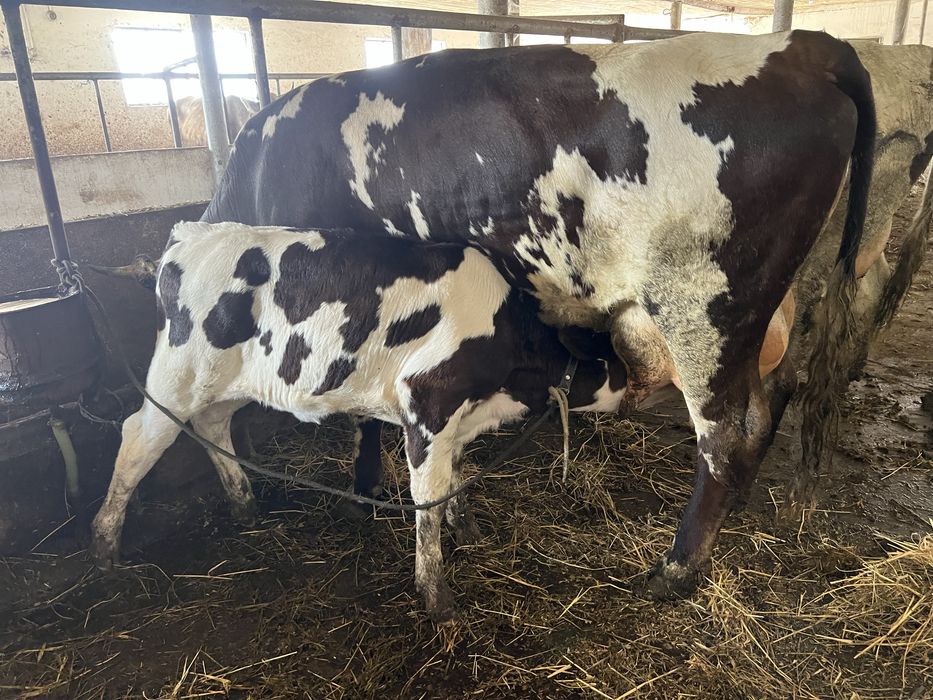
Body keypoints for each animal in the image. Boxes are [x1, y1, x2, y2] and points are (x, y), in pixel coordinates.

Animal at [90, 221, 628, 622]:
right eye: (614, 359)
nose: (635, 386)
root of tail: (188, 234)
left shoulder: (457, 420)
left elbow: (456, 477)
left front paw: (469, 531)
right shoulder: (427, 405)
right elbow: (428, 500)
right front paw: (437, 598)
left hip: (225, 383)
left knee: (211, 425)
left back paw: (245, 506)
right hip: (177, 375)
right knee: (139, 438)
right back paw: (105, 545)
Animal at [193, 30, 875, 600]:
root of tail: (802, 47)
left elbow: (362, 414)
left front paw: (362, 497)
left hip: (702, 308)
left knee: (727, 434)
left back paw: (676, 570)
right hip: (766, 310)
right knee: (766, 407)